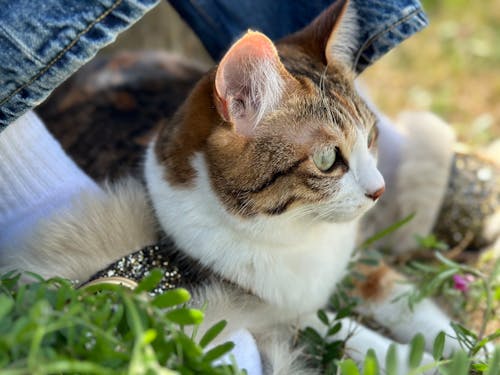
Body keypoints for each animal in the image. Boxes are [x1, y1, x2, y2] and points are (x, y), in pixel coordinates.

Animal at [0, 1, 462, 374]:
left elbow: (404, 298)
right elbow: (359, 338)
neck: (297, 237)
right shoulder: (271, 309)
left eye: (371, 138)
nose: (378, 190)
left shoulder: (356, 260)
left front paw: (464, 347)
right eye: (327, 159)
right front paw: (426, 361)